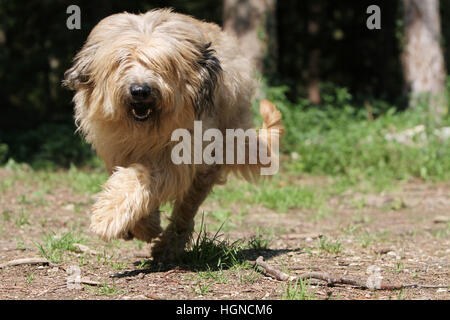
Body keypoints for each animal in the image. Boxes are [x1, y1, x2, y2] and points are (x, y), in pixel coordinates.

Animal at [64, 8, 282, 262]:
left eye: (163, 65)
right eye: (121, 61)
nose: (140, 91)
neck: (145, 131)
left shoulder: (179, 155)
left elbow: (140, 177)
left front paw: (108, 216)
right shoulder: (116, 150)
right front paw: (142, 225)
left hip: (210, 162)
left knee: (186, 210)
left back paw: (169, 245)